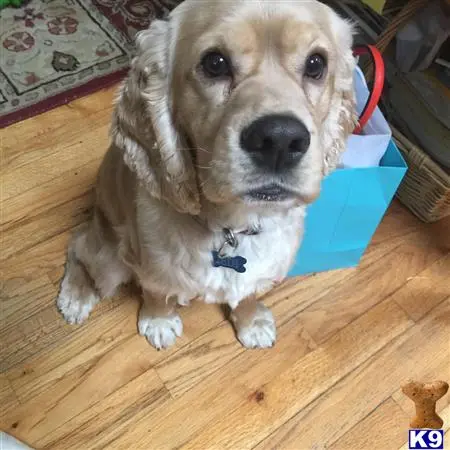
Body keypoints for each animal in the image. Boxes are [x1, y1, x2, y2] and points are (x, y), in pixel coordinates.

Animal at [58, 0, 356, 350]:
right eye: (215, 63)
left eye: (316, 63)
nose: (280, 140)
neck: (233, 227)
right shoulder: (152, 265)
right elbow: (157, 293)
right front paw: (158, 321)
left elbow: (248, 294)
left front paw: (252, 322)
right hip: (108, 256)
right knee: (78, 246)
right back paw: (76, 297)